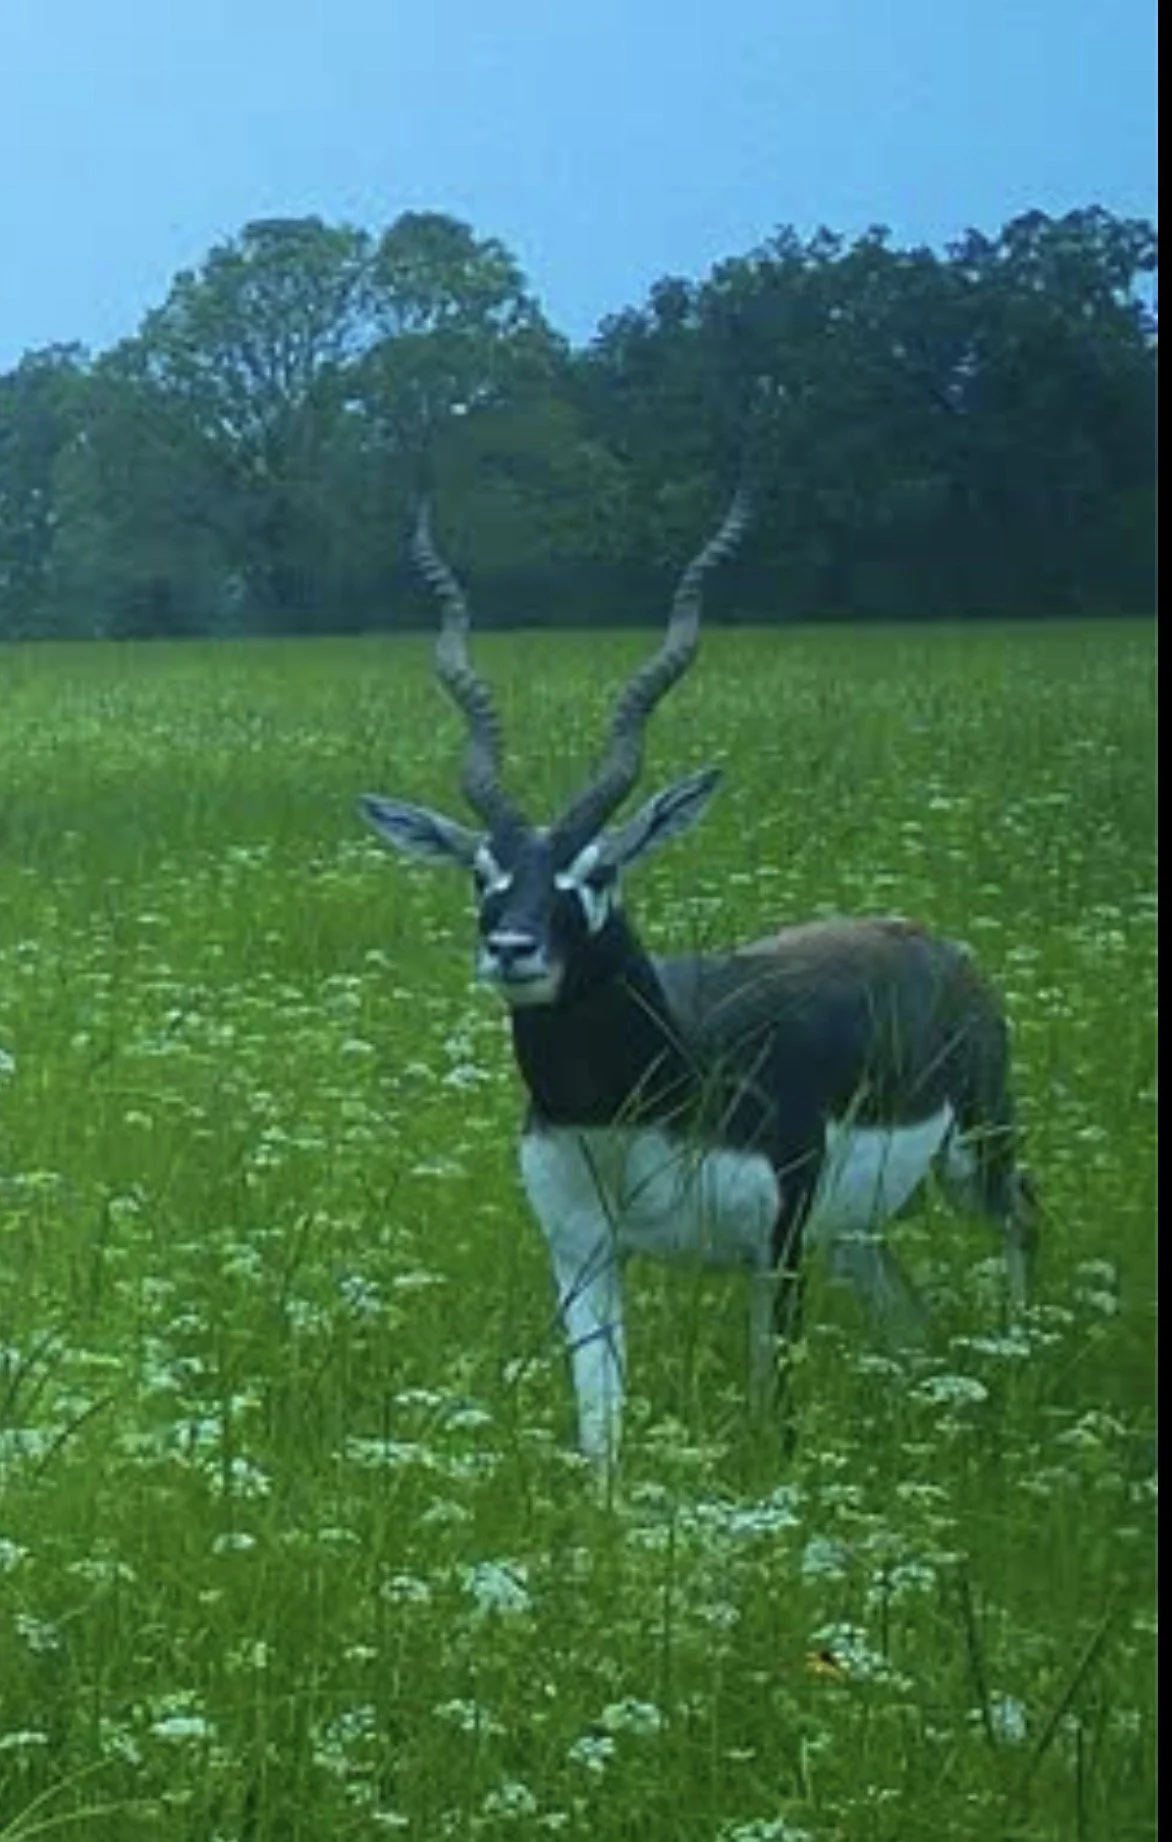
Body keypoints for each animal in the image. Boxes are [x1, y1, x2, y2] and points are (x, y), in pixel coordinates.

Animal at [361, 495, 1037, 1475]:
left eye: (598, 872)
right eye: (482, 872)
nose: (512, 948)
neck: (640, 1102)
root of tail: (938, 950)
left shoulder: (777, 1240)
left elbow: (775, 1413)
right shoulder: (583, 1253)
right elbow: (601, 1431)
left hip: (974, 1152)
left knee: (1024, 1217)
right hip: (858, 1228)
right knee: (907, 1310)